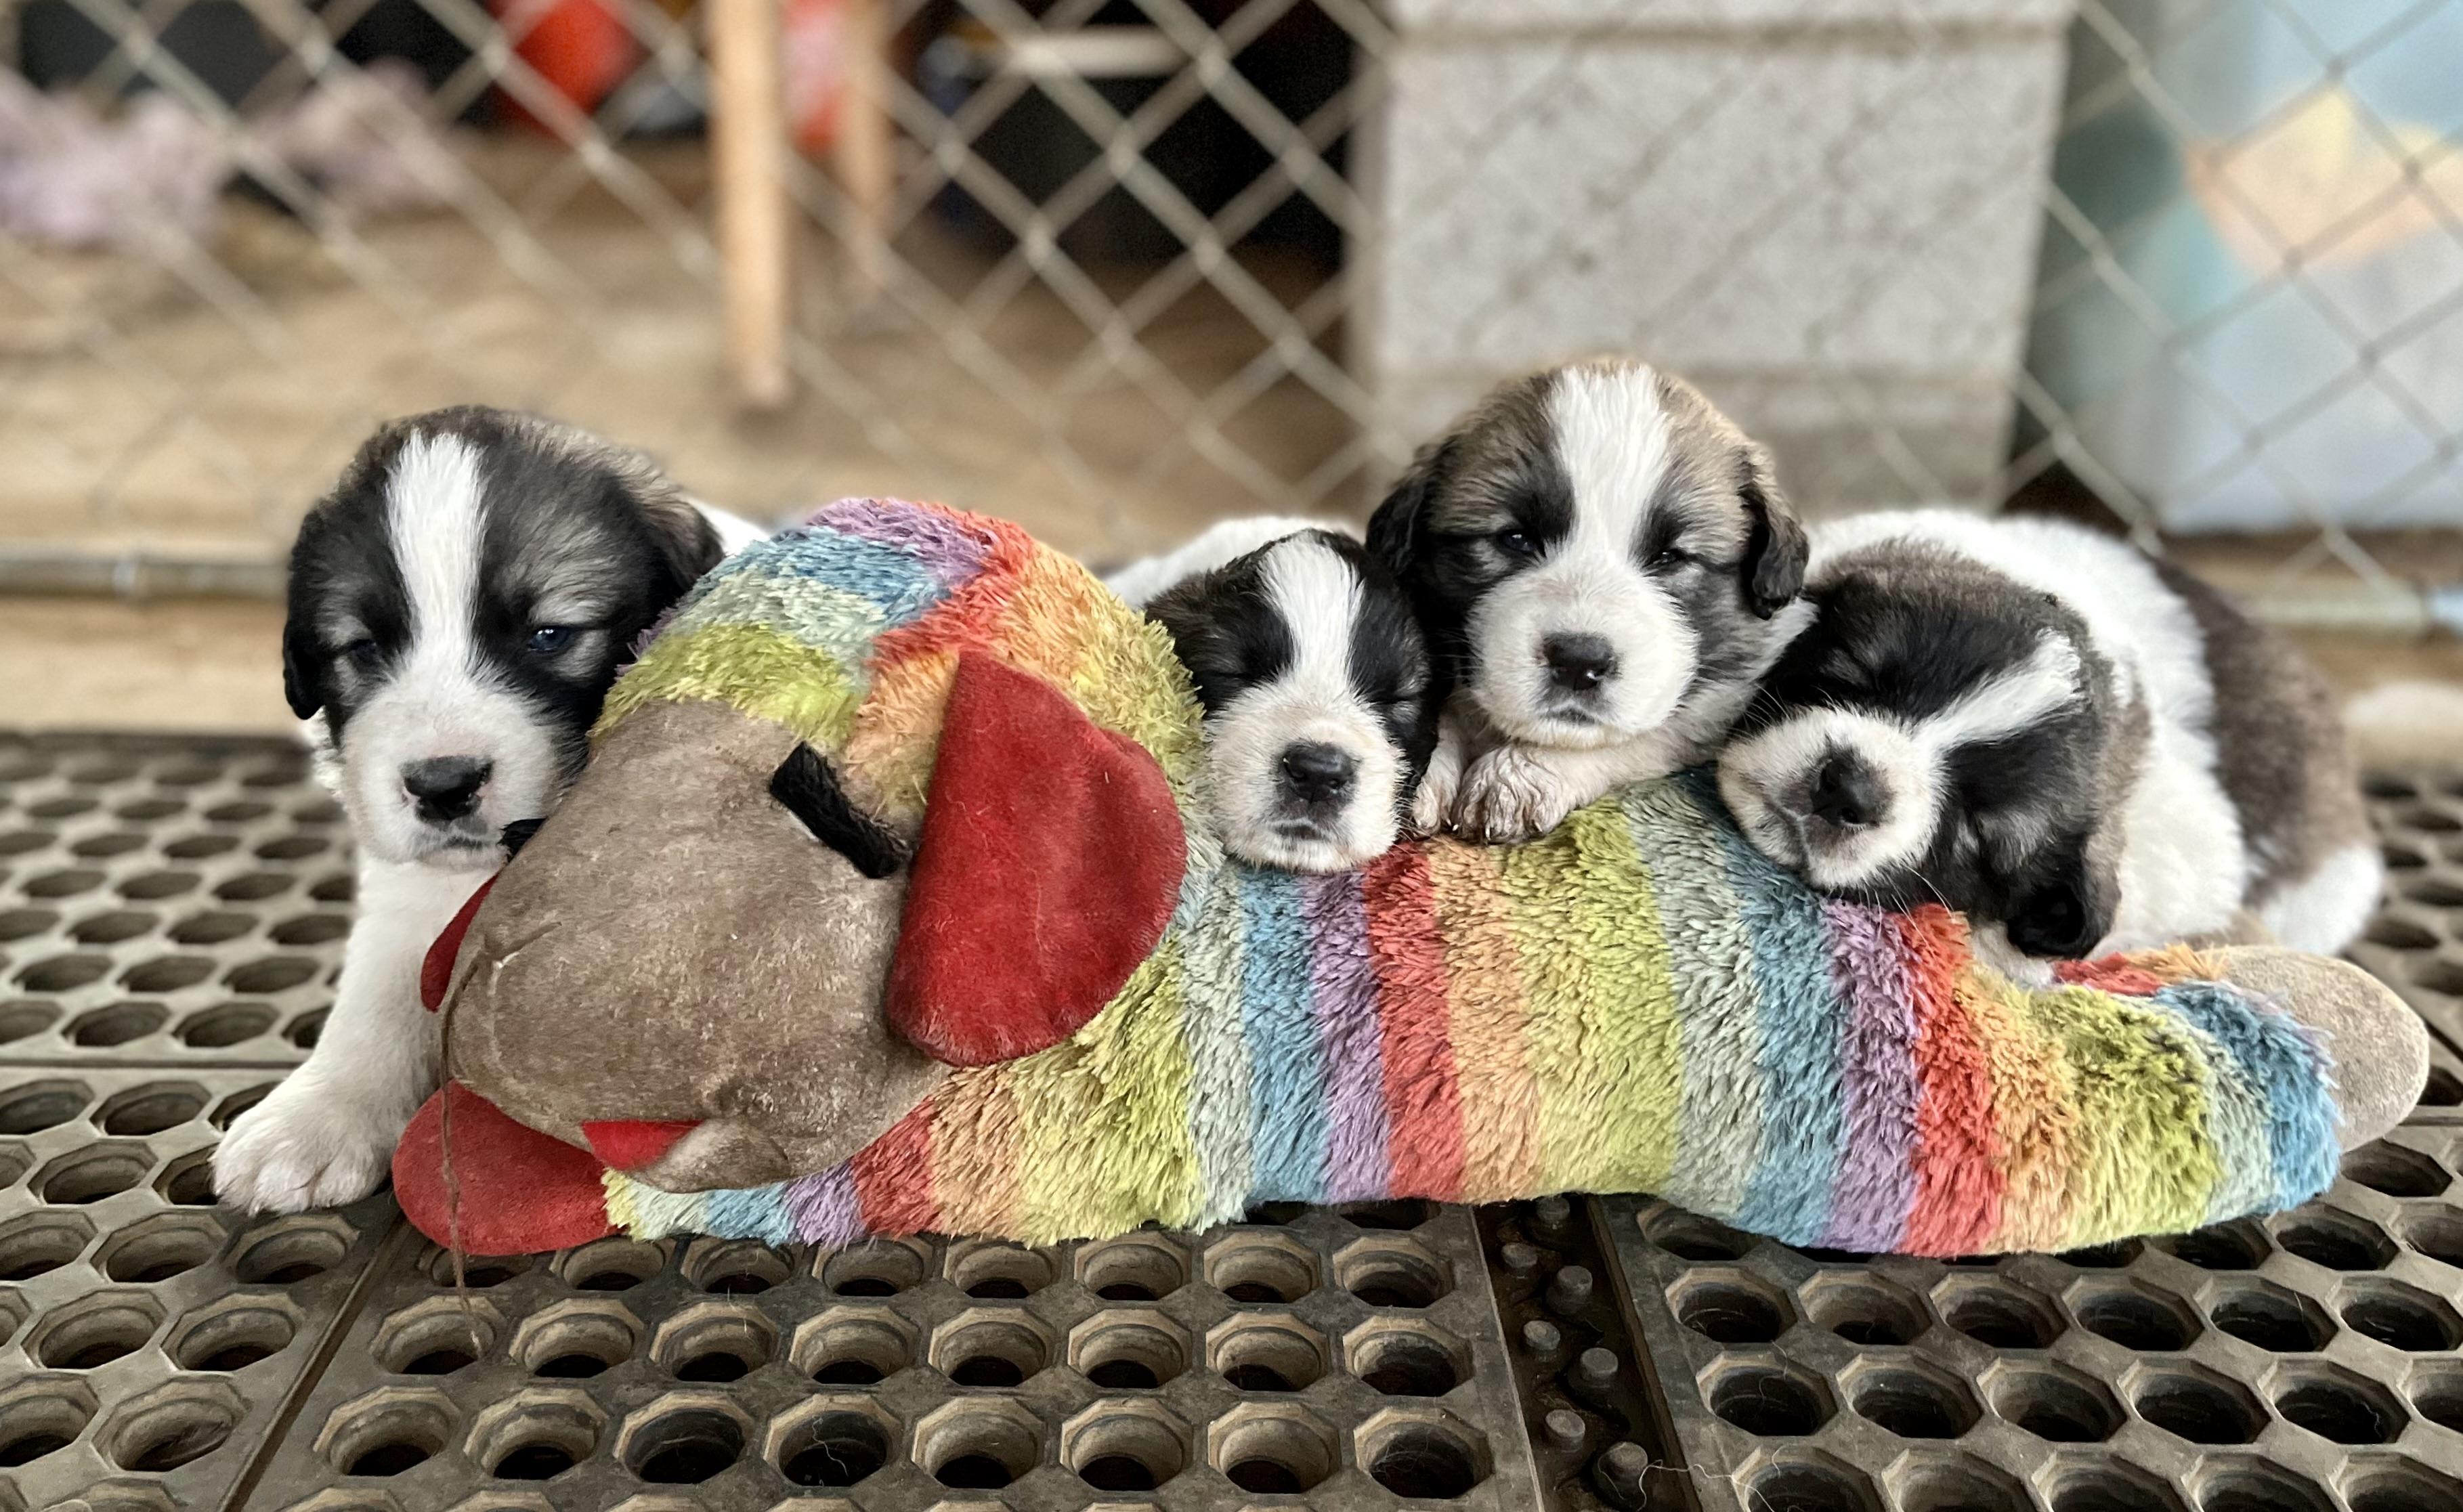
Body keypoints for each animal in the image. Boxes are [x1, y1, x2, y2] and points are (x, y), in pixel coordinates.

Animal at [212, 406, 762, 1212]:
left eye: (549, 634)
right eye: (363, 648)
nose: (443, 784)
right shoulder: (406, 890)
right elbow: (373, 999)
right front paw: (313, 1116)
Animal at [1367, 357, 1811, 842]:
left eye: (1670, 557)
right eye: (1515, 539)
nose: (1579, 662)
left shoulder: (1720, 699)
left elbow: (1636, 734)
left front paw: (1519, 774)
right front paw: (1427, 770)